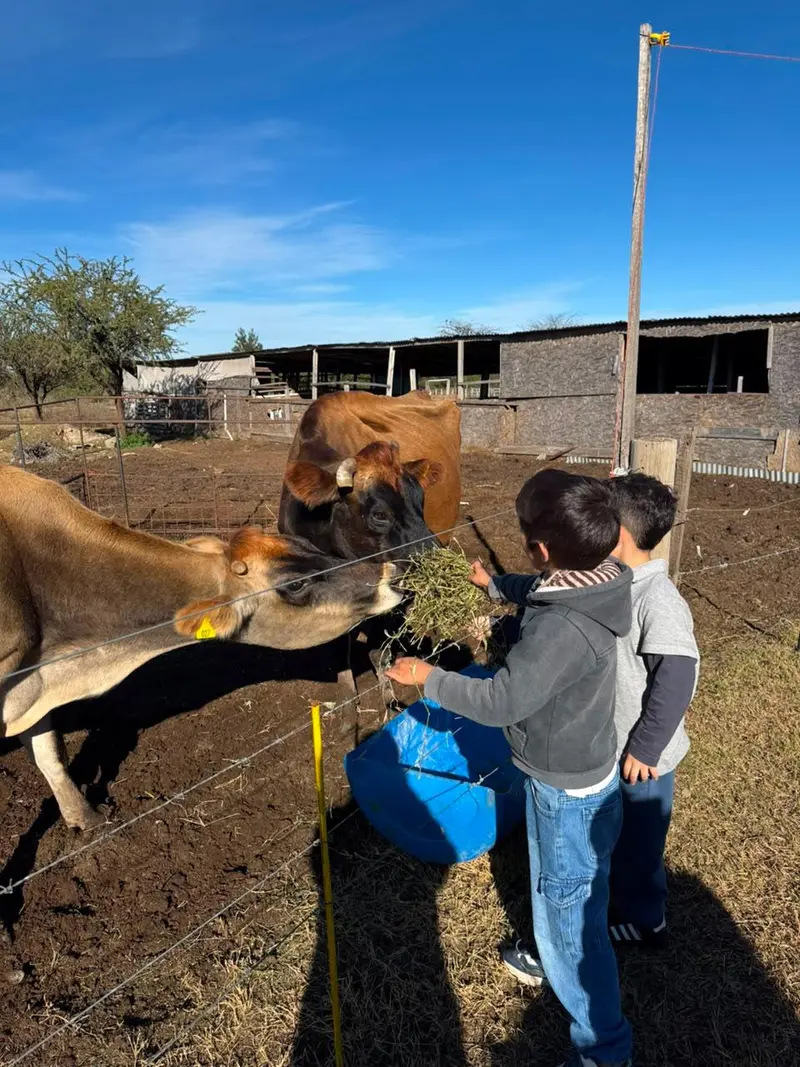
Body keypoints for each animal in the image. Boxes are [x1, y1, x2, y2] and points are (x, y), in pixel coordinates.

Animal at [0, 466, 402, 830]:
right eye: (297, 584)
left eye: (307, 547)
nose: (392, 575)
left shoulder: (30, 690)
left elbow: (50, 756)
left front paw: (86, 819)